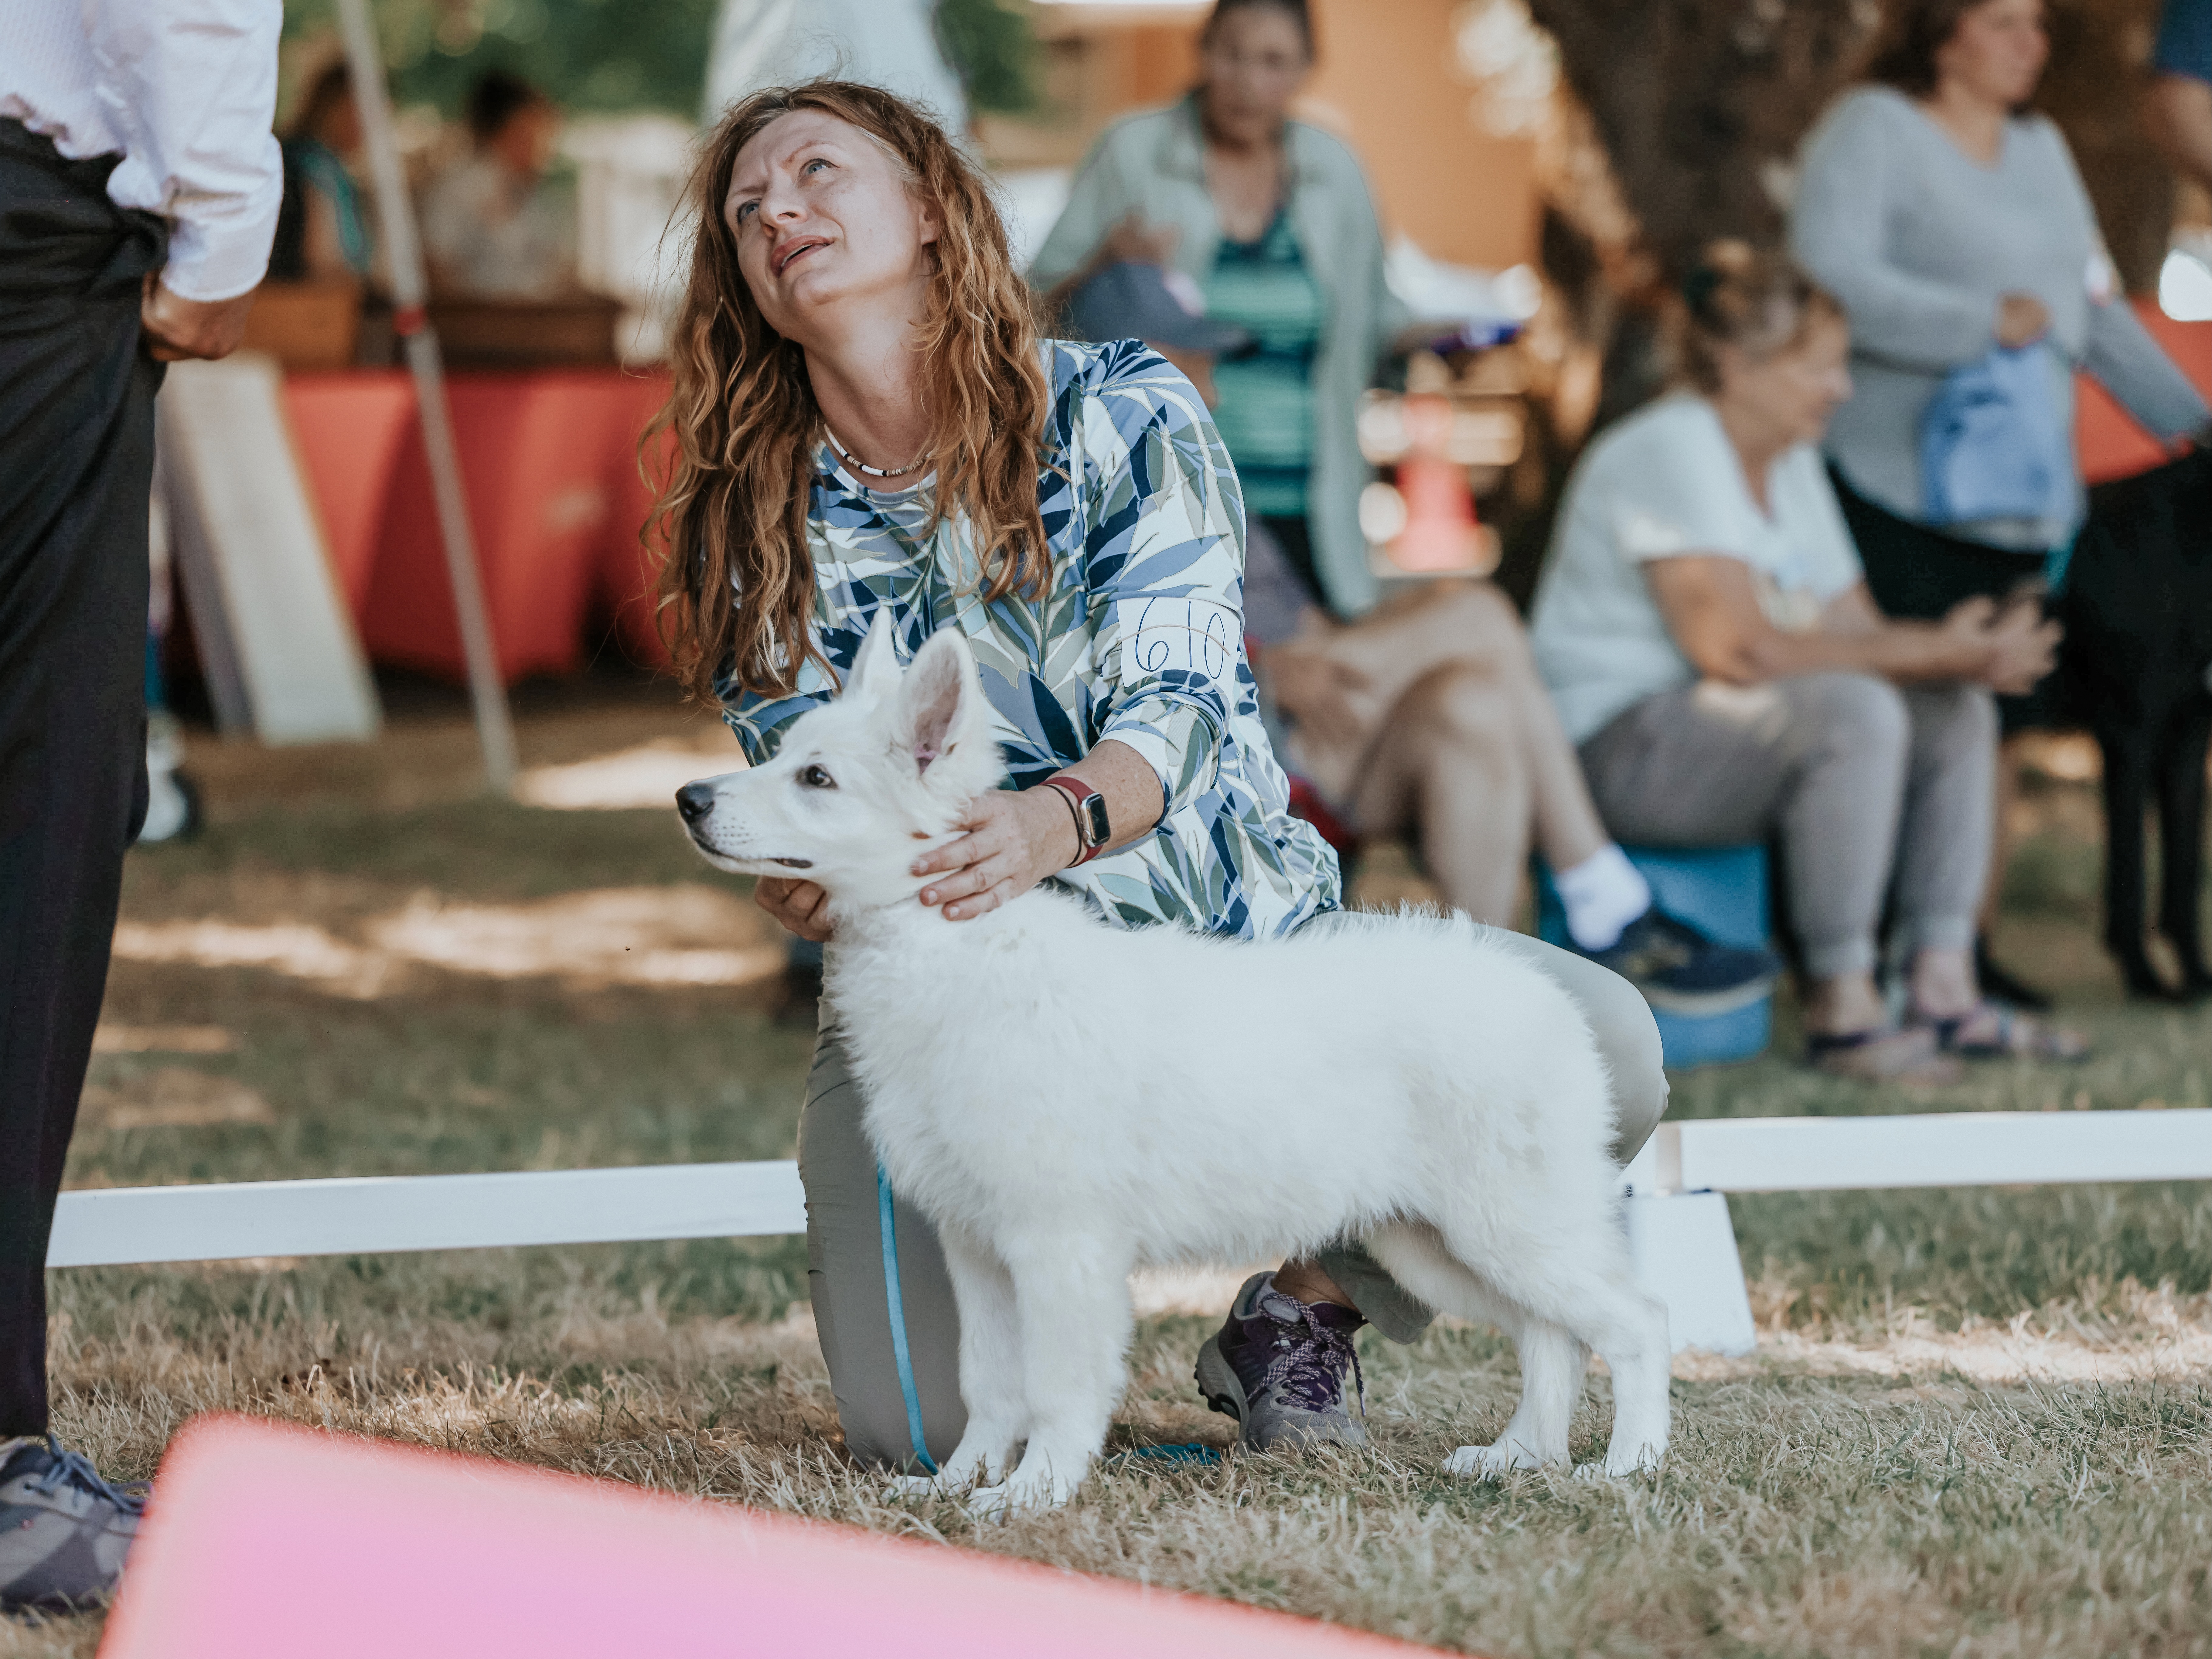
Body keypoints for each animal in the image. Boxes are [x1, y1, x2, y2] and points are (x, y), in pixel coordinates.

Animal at [681, 619, 1663, 1522]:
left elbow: (1054, 1387)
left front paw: (1032, 1493)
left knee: (1632, 1324)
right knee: (1550, 1336)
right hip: (1435, 1241)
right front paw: (958, 1484)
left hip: (1507, 1226)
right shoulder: (979, 1249)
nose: (689, 797)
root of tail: (1545, 999)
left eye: (817, 780)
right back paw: (1517, 1456)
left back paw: (1628, 1465)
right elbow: (987, 1384)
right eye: (783, 755)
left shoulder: (1060, 1246)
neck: (956, 955)